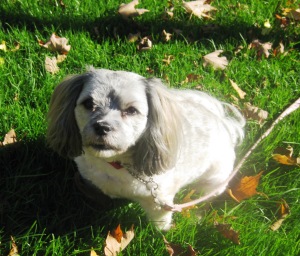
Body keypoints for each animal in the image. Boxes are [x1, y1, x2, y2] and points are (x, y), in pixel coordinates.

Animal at [46, 67, 244, 230]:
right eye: (88, 103)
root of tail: (225, 124)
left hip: (215, 179)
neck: (116, 165)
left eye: (132, 110)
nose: (102, 127)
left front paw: (162, 233)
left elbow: (160, 223)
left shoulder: (159, 201)